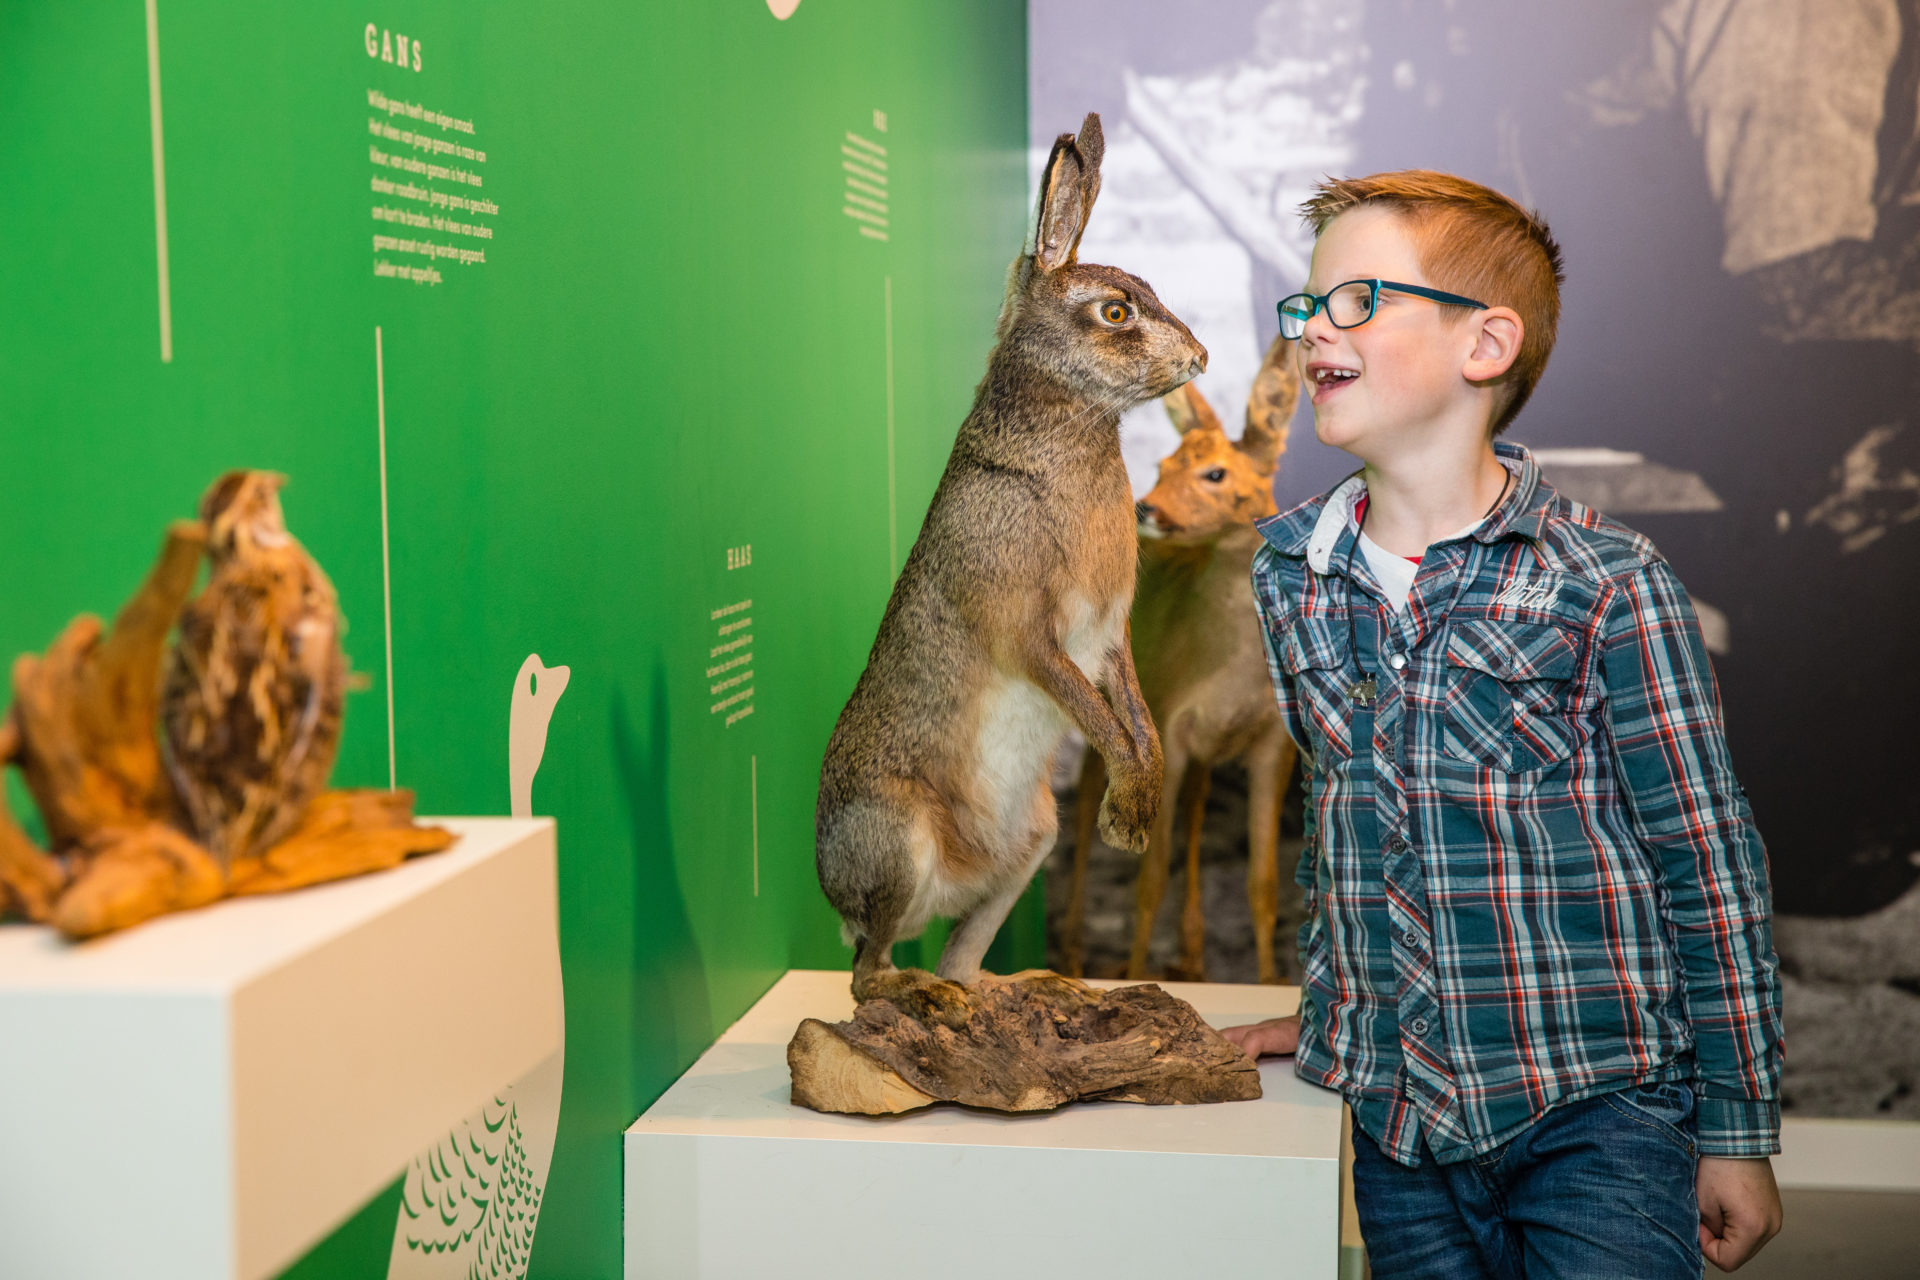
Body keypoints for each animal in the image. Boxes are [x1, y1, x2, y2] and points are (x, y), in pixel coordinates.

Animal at [817, 115, 1205, 997]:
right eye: (1115, 311)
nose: (1199, 358)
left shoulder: (1108, 636)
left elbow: (1134, 718)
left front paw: (1134, 814)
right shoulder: (1030, 633)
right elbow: (1095, 713)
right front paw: (1129, 815)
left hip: (1034, 840)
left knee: (962, 946)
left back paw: (1018, 988)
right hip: (894, 842)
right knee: (866, 972)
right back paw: (919, 993)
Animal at [1059, 335, 1313, 990]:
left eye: (1215, 472)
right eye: (1164, 465)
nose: (1146, 507)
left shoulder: (1271, 746)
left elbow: (1263, 884)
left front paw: (1269, 984)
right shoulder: (1168, 724)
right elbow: (1148, 878)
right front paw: (1133, 973)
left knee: (1196, 813)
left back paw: (1193, 957)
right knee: (1083, 811)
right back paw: (1076, 954)